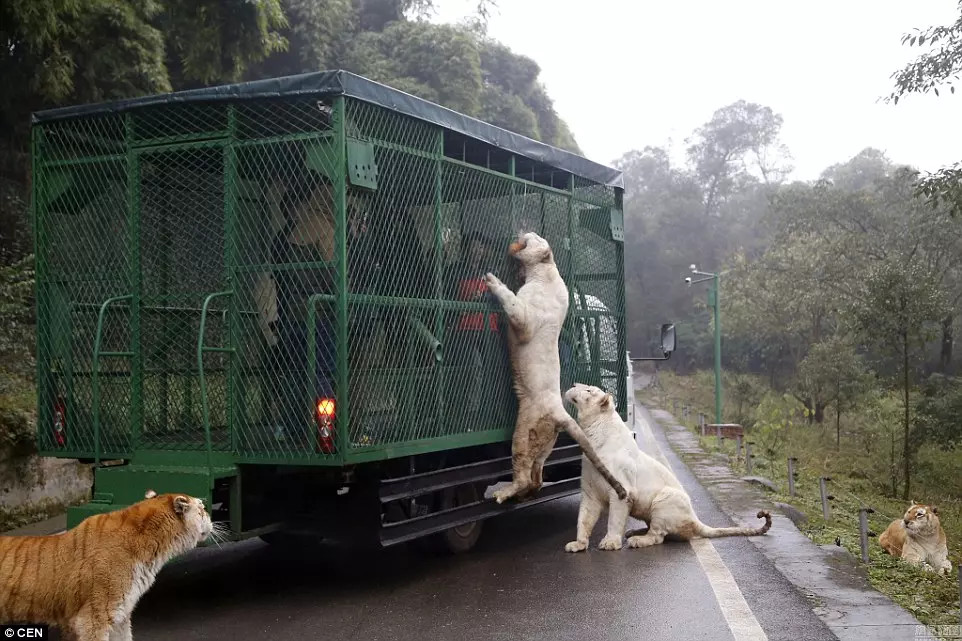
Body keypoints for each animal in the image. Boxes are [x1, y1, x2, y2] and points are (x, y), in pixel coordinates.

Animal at [480, 231, 632, 504]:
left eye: (533, 237)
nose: (523, 232)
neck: (545, 268)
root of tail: (561, 412)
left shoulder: (527, 319)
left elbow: (513, 304)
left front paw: (492, 280)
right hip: (545, 441)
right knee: (537, 476)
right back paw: (524, 495)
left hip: (525, 428)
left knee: (523, 471)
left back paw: (504, 493)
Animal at [560, 382, 768, 552]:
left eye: (589, 390)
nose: (573, 383)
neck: (592, 435)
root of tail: (694, 519)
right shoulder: (590, 492)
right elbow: (583, 519)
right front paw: (578, 544)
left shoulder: (622, 491)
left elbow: (614, 519)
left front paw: (610, 542)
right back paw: (634, 532)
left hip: (666, 498)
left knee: (658, 536)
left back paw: (637, 539)